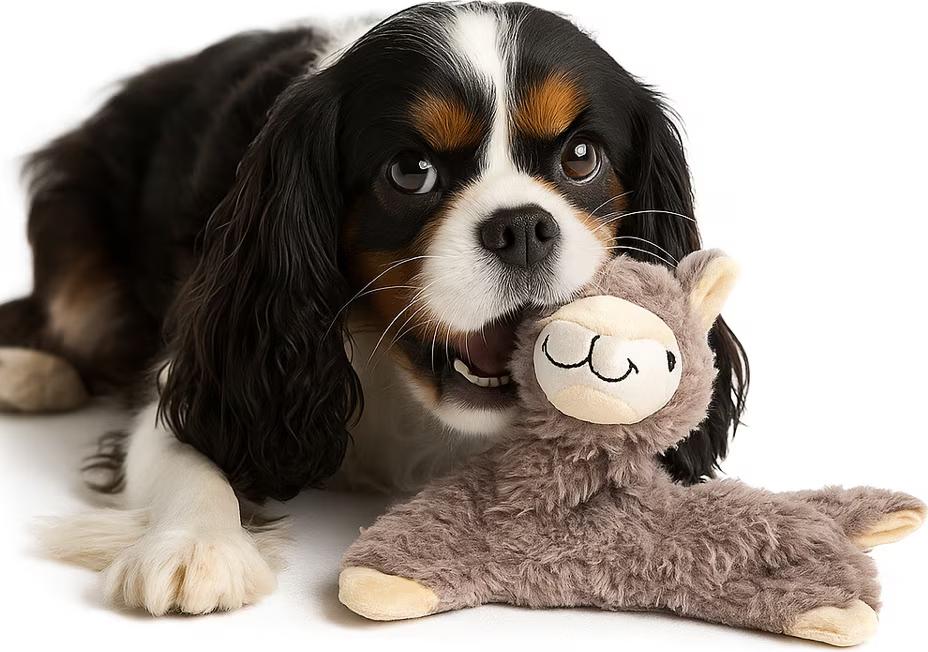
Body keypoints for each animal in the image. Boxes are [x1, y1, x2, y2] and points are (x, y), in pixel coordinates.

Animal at [1, 2, 747, 614]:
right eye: (410, 172)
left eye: (581, 158)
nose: (523, 227)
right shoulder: (209, 366)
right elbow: (186, 452)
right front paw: (196, 548)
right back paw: (32, 373)